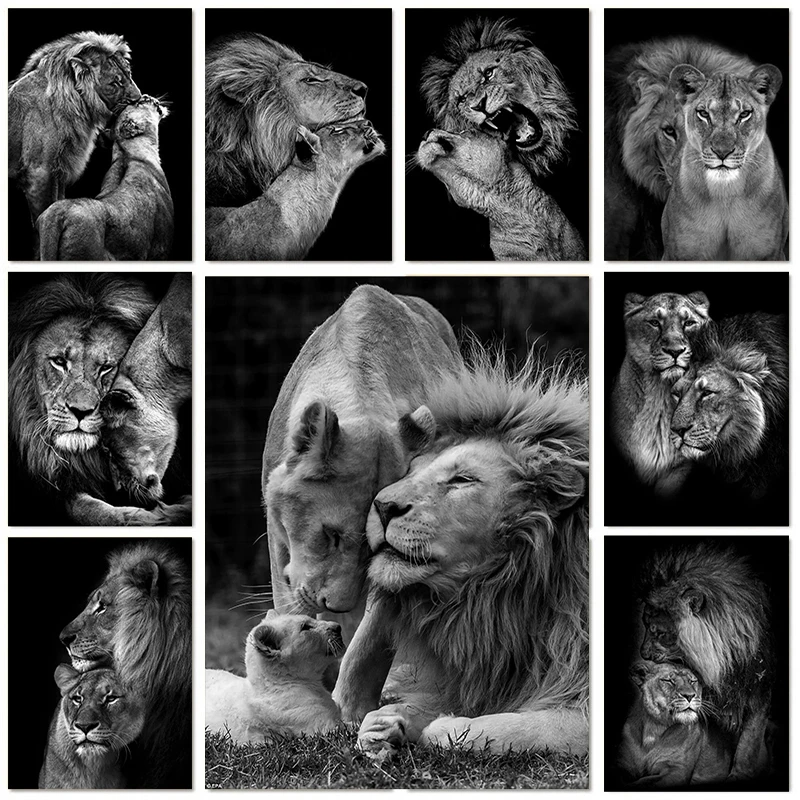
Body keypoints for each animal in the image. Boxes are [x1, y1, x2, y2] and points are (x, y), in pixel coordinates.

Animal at [9, 31, 141, 227]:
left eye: (129, 74)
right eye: (114, 83)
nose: (138, 99)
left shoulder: (59, 171)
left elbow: (57, 202)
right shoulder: (39, 172)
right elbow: (43, 212)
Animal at [333, 347, 589, 756]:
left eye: (462, 479)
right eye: (411, 471)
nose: (382, 506)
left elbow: (509, 728)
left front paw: (441, 728)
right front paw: (386, 723)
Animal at [639, 543, 774, 781]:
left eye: (659, 632)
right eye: (645, 625)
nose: (642, 653)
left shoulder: (759, 692)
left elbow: (748, 743)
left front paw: (738, 774)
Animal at [662, 64, 787, 261]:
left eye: (744, 114)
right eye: (703, 113)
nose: (722, 152)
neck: (725, 193)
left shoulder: (771, 254)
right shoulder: (678, 253)